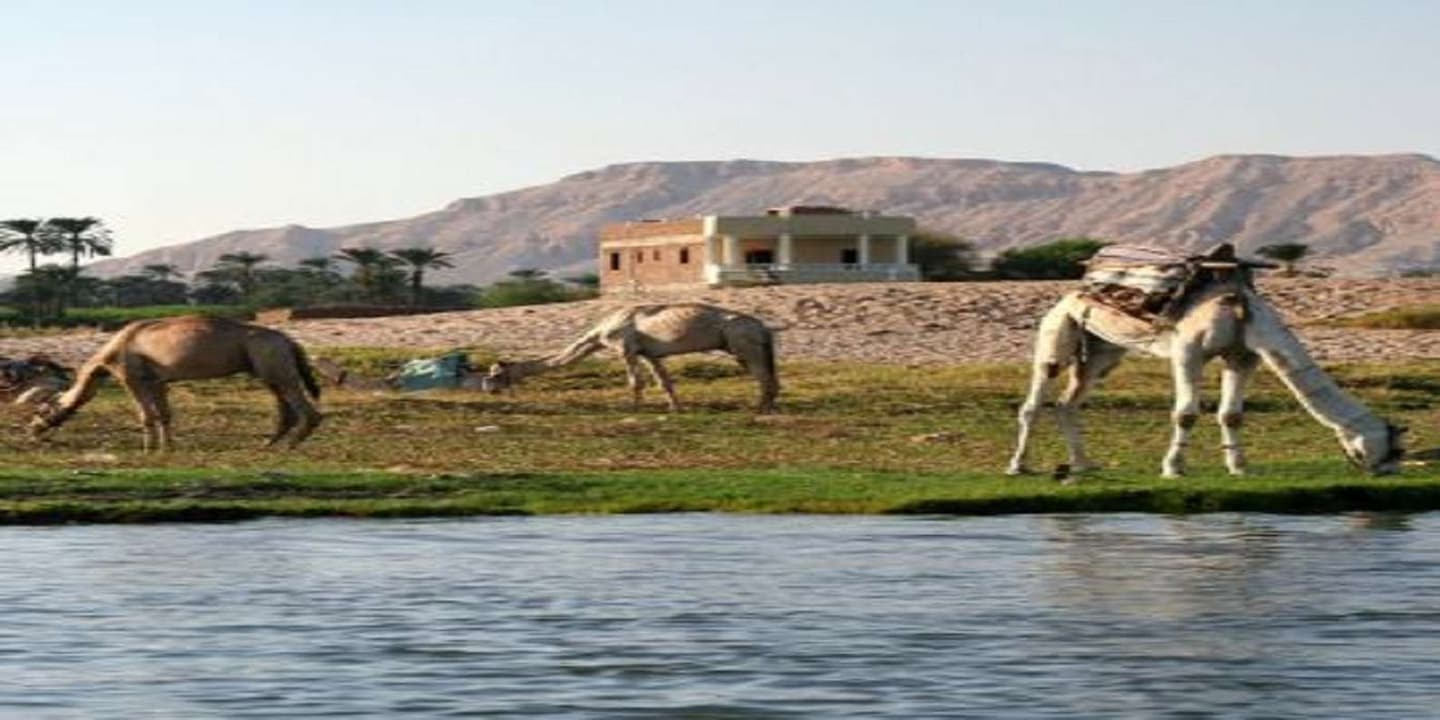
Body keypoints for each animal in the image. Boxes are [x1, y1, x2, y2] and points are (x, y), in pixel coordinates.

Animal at [29, 316, 323, 451]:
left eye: (42, 410)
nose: (33, 430)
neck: (104, 361)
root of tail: (290, 341)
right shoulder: (158, 380)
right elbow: (164, 414)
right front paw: (166, 447)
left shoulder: (130, 377)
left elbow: (146, 415)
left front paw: (147, 449)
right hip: (268, 369)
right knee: (285, 405)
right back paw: (268, 444)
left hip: (273, 363)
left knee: (306, 408)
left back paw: (289, 446)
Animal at [482, 303, 779, 413]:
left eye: (497, 373)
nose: (488, 387)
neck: (599, 334)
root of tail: (764, 327)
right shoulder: (649, 353)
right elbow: (664, 381)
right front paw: (675, 408)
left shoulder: (625, 348)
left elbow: (635, 382)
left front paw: (633, 408)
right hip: (751, 347)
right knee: (770, 377)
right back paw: (767, 406)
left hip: (742, 344)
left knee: (763, 376)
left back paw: (760, 408)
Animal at [1007, 252, 1405, 478]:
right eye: (1389, 450)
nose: (1386, 472)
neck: (1246, 315)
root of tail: (1076, 290)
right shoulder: (1189, 351)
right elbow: (1186, 413)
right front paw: (1173, 469)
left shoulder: (1243, 356)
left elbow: (1231, 414)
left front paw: (1239, 468)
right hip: (1058, 329)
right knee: (1036, 396)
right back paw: (1018, 466)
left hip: (1104, 351)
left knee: (1068, 402)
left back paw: (1082, 465)